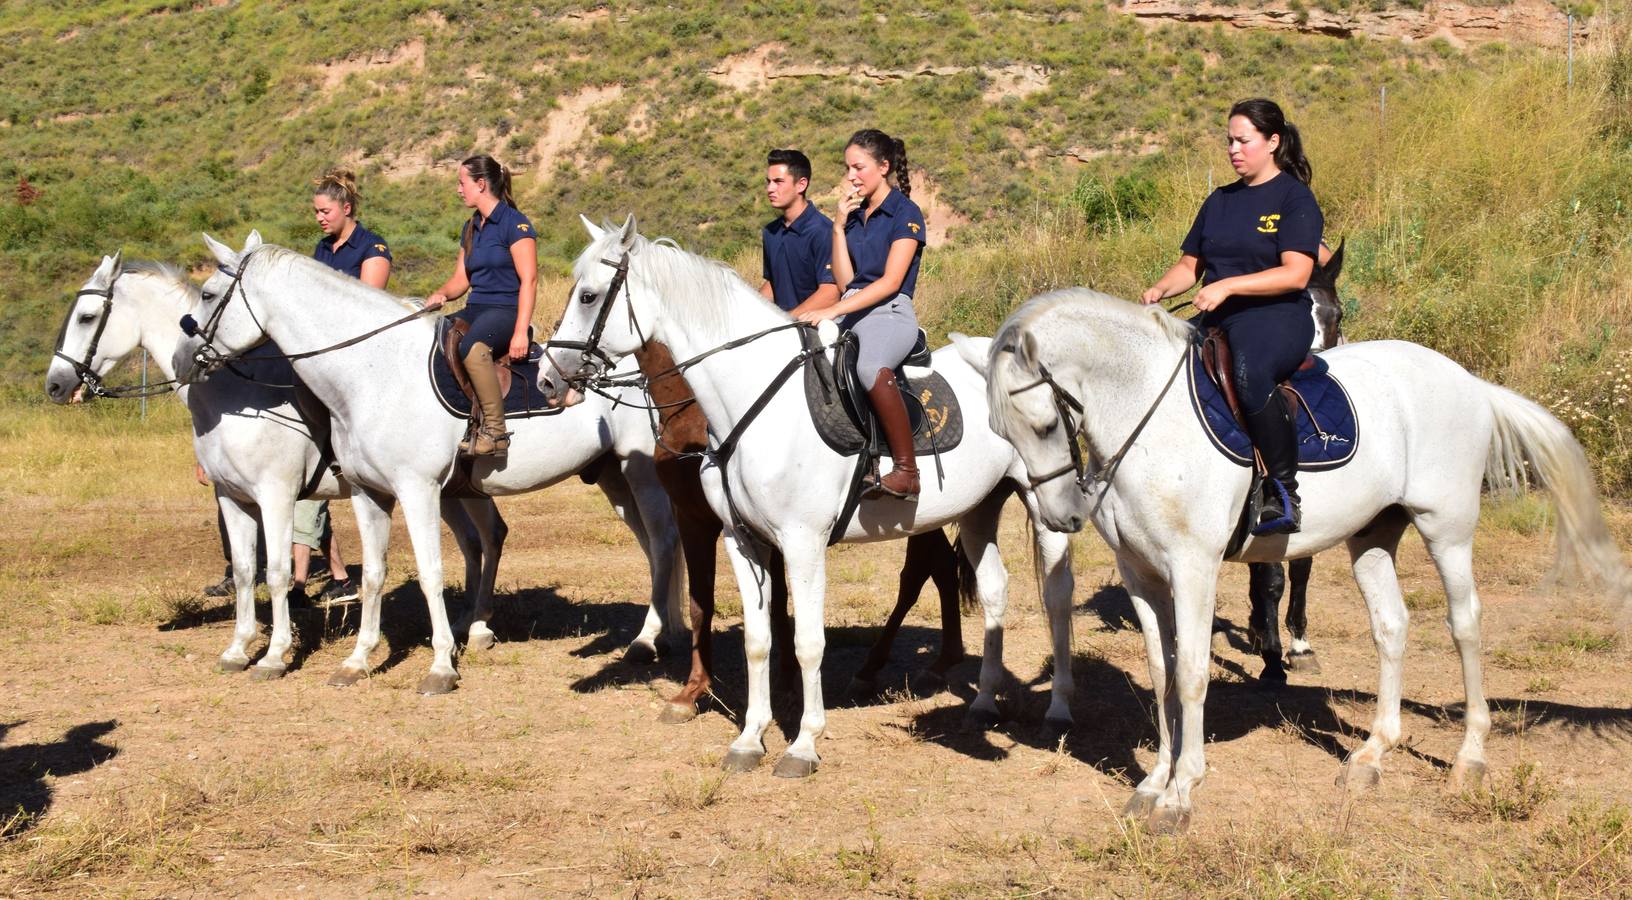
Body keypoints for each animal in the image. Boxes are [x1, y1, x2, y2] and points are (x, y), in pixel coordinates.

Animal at [46, 251, 502, 676]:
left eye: (87, 317)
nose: (55, 384)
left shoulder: (277, 495)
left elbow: (278, 572)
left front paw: (274, 655)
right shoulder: (232, 497)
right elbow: (246, 570)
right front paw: (238, 648)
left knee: (485, 538)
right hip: (457, 491)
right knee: (482, 539)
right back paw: (474, 625)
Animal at [175, 233, 685, 695]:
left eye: (207, 294)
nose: (182, 360)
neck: (372, 372)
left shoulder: (412, 489)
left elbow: (430, 572)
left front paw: (441, 666)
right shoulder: (367, 493)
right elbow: (374, 574)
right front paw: (357, 660)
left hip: (640, 475)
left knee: (662, 543)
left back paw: (646, 639)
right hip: (613, 479)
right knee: (652, 546)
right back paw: (669, 631)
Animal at [633, 339, 966, 725]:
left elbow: (777, 604)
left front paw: (787, 686)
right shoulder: (694, 517)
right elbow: (702, 602)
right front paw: (692, 692)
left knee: (923, 572)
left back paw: (884, 669)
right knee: (939, 567)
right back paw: (930, 663)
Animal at [959, 289, 1625, 829]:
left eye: (1045, 424)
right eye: (1000, 430)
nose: (1060, 518)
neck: (1149, 417)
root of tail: (1468, 381)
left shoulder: (1194, 569)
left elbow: (1192, 673)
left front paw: (1181, 794)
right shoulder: (1141, 574)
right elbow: (1160, 672)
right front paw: (1153, 782)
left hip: (1448, 529)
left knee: (1464, 625)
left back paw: (1470, 758)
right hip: (1372, 536)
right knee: (1391, 627)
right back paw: (1371, 756)